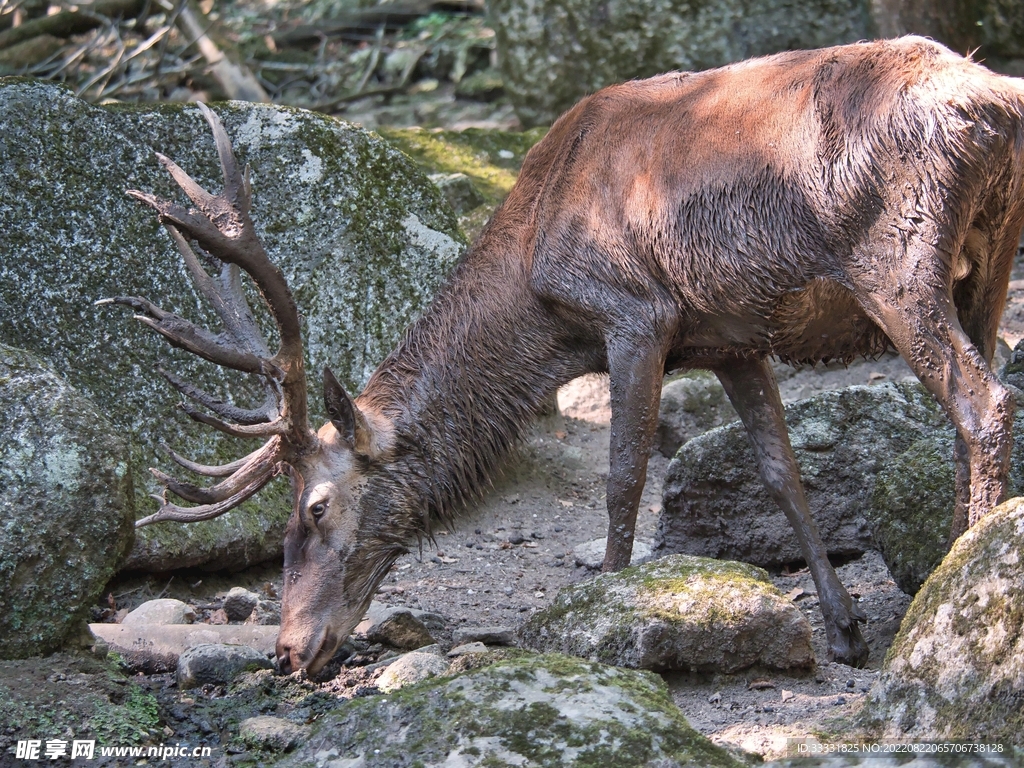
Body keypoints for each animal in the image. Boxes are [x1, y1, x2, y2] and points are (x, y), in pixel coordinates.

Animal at [102, 36, 1024, 676]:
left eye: (316, 509)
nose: (288, 651)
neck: (540, 296)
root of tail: (995, 104)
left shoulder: (636, 311)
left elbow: (623, 477)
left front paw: (598, 616)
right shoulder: (731, 336)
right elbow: (780, 473)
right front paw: (842, 630)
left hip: (894, 257)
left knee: (984, 402)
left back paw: (947, 593)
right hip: (988, 259)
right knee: (970, 400)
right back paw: (946, 569)